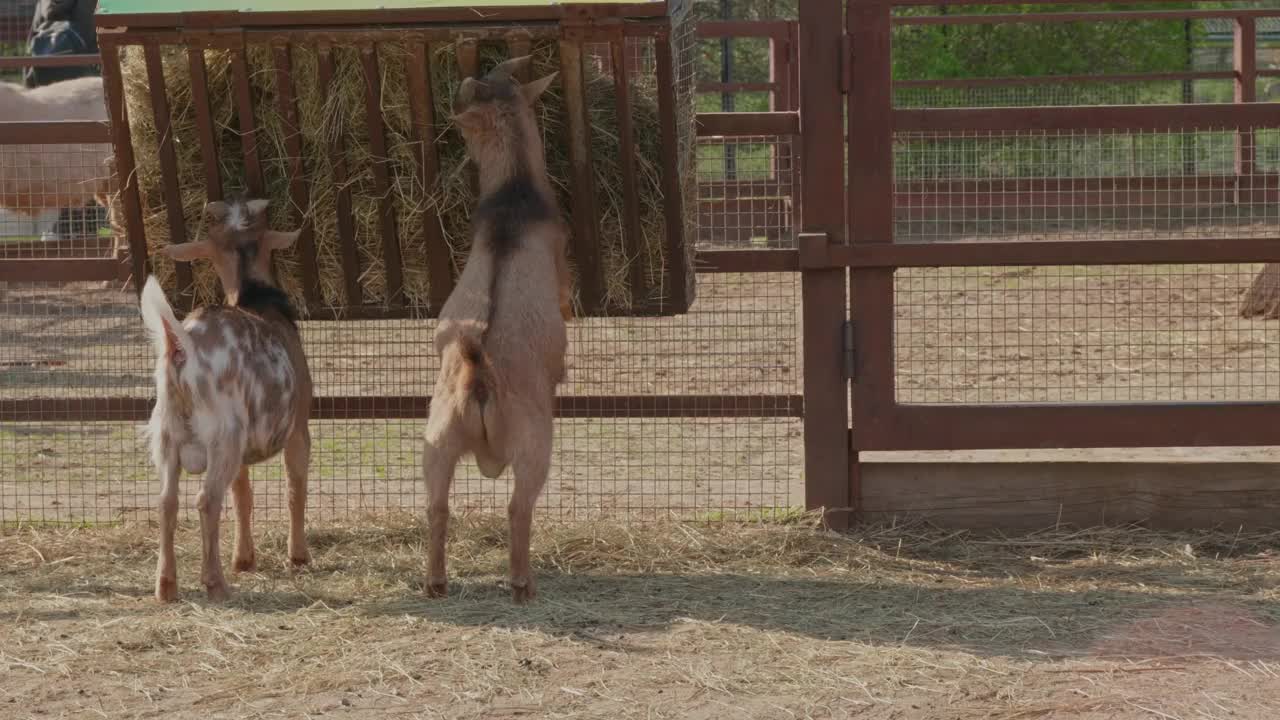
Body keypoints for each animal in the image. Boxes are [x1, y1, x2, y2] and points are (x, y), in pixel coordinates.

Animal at [140, 198, 312, 602]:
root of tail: (181, 348)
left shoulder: (243, 452)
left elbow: (243, 495)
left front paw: (244, 559)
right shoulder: (298, 427)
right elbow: (294, 487)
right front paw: (298, 556)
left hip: (168, 437)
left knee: (167, 502)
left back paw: (166, 586)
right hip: (222, 435)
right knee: (206, 500)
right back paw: (214, 582)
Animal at [424, 58, 570, 602]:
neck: (513, 199)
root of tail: (478, 377)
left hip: (437, 439)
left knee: (437, 506)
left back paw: (435, 582)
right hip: (534, 443)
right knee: (518, 506)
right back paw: (522, 583)